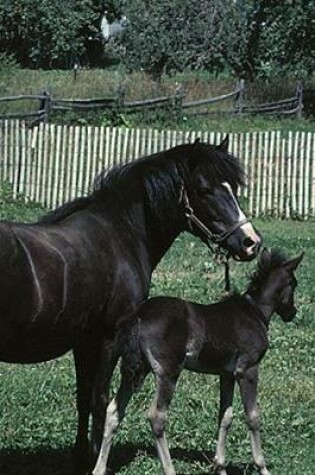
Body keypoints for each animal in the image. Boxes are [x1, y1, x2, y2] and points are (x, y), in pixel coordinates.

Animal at [93, 249, 304, 475]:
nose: (292, 313)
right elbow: (253, 416)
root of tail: (139, 315)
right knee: (157, 416)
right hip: (168, 372)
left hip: (137, 369)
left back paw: (99, 468)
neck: (254, 311)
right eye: (293, 283)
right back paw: (170, 469)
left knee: (113, 411)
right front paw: (262, 467)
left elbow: (225, 417)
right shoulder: (248, 369)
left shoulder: (226, 375)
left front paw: (220, 466)